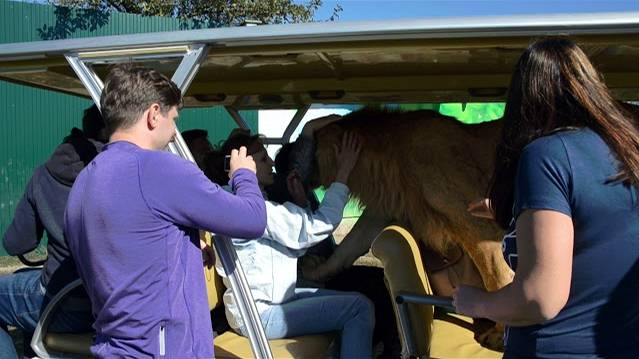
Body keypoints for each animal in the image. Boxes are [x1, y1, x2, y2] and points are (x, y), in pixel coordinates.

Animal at [308, 108, 516, 350]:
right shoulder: (380, 211)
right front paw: (313, 271)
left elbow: (496, 274)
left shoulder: (476, 219)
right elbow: (347, 247)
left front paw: (500, 335)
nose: (284, 155)